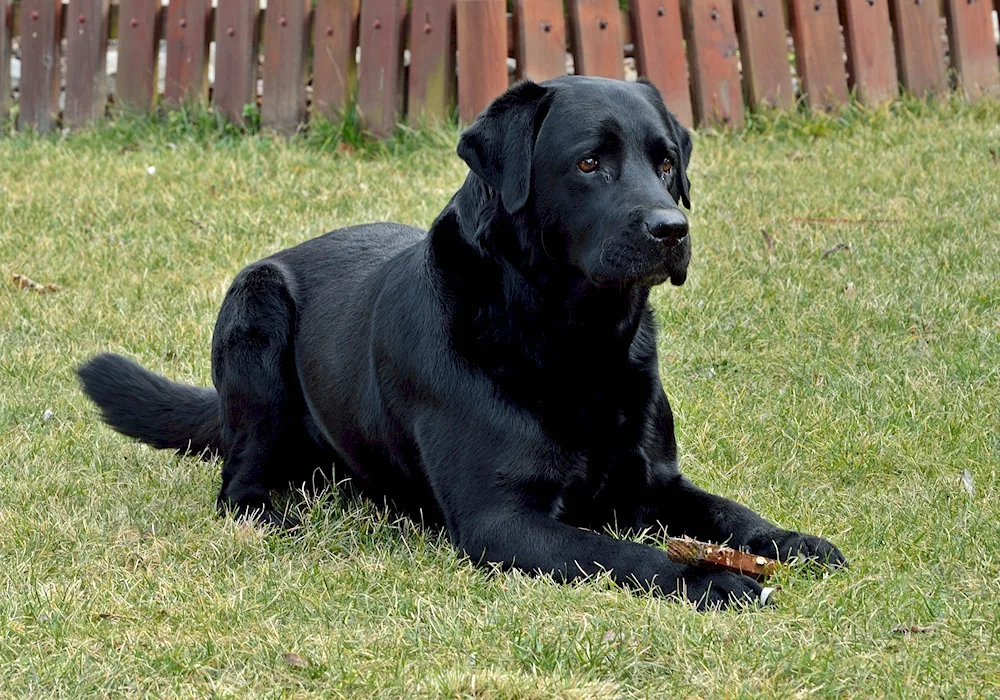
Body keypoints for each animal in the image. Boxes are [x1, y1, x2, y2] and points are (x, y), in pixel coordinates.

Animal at [80, 78, 844, 608]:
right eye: (589, 163)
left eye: (664, 164)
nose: (671, 229)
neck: (576, 344)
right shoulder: (500, 520)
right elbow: (624, 556)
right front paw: (714, 581)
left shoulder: (655, 484)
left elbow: (732, 513)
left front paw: (791, 542)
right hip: (255, 311)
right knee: (239, 482)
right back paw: (275, 513)